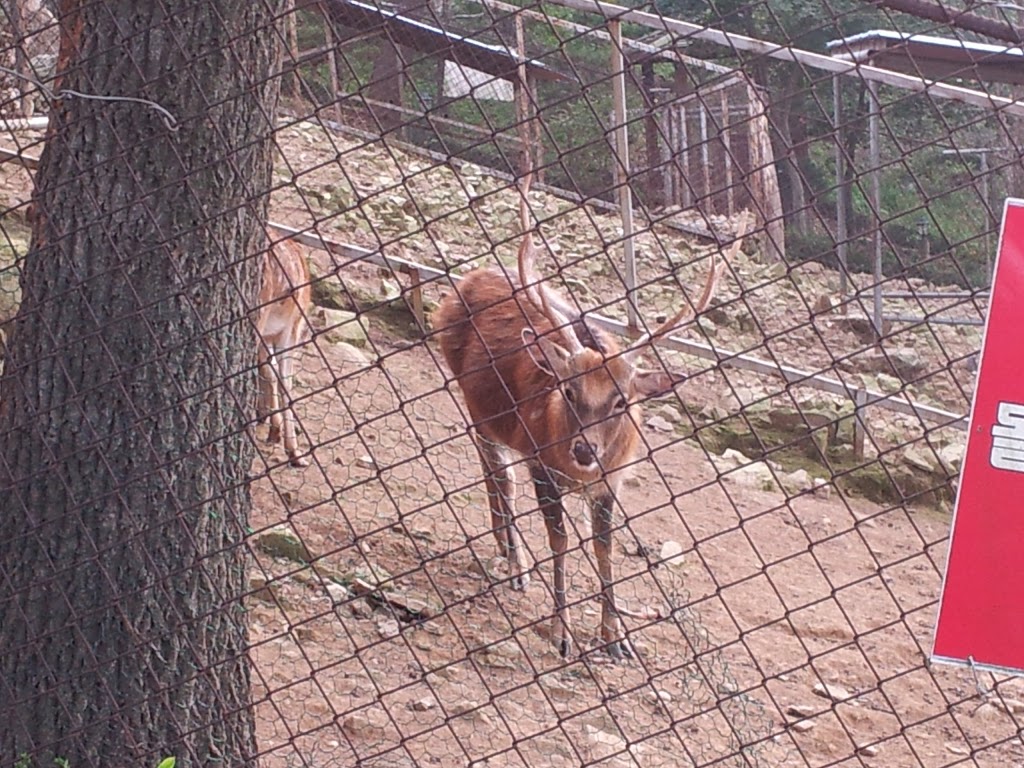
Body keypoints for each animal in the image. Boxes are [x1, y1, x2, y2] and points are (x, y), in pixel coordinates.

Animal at [436, 186, 749, 663]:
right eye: (568, 390)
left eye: (621, 400)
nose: (585, 449)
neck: (575, 469)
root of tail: (464, 282)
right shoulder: (540, 463)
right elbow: (560, 540)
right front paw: (561, 632)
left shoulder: (612, 479)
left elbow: (605, 546)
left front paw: (616, 638)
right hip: (474, 402)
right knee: (498, 469)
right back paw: (515, 564)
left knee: (495, 468)